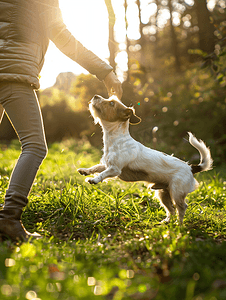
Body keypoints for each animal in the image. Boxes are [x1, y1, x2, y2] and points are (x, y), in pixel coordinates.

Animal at [77, 95, 212, 224]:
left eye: (111, 103)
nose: (95, 96)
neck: (116, 139)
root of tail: (191, 167)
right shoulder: (107, 164)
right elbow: (95, 167)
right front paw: (85, 171)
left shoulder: (115, 169)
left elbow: (102, 174)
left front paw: (94, 180)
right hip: (163, 193)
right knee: (171, 209)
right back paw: (167, 222)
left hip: (177, 192)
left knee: (182, 207)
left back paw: (179, 226)